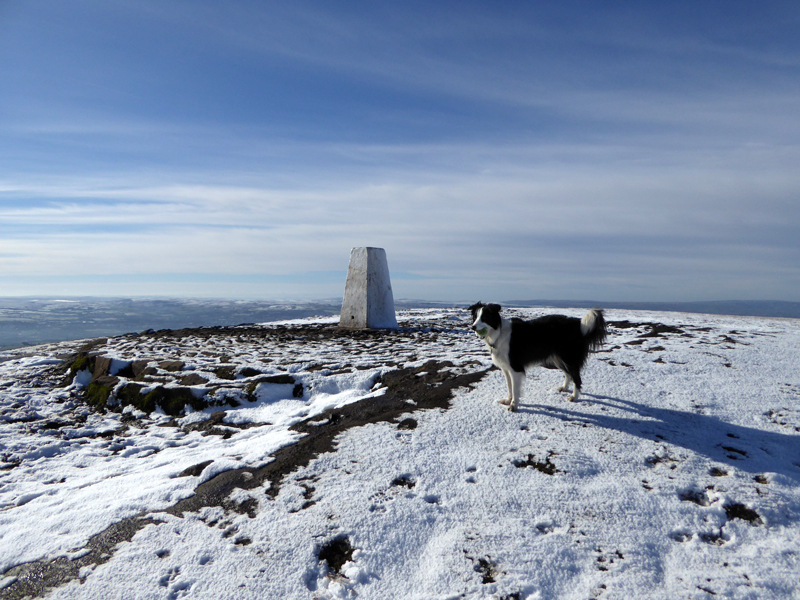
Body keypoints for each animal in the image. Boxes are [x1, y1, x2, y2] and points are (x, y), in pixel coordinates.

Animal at [468, 302, 608, 410]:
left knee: (577, 378)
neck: (498, 333)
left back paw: (574, 397)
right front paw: (508, 400)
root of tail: (577, 323)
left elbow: (515, 389)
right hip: (558, 358)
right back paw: (564, 388)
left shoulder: (515, 368)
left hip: (568, 358)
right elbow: (509, 387)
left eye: (484, 317)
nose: (473, 327)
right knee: (568, 374)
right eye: (475, 317)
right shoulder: (506, 368)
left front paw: (514, 405)